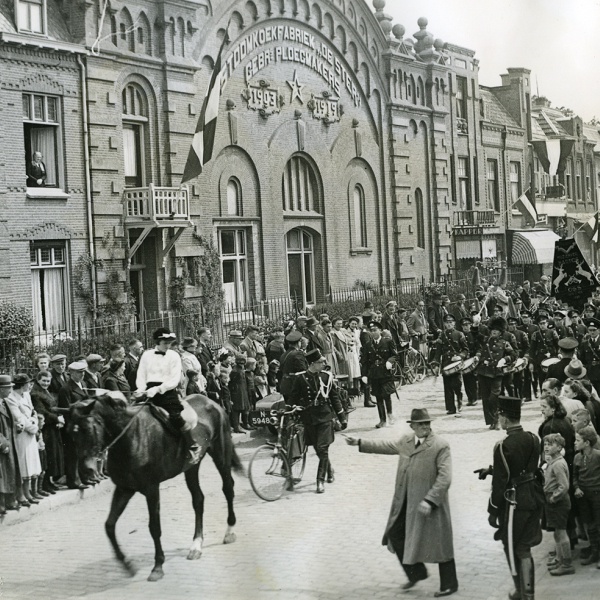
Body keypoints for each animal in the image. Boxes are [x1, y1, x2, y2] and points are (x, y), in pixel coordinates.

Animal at [70, 394, 239, 580]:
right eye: (70, 433)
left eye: (87, 428)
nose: (87, 469)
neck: (131, 437)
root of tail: (211, 402)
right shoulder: (124, 488)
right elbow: (109, 525)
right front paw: (126, 564)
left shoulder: (151, 489)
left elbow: (154, 528)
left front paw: (158, 566)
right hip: (191, 467)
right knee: (198, 499)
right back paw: (196, 545)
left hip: (221, 455)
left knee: (228, 489)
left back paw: (229, 532)